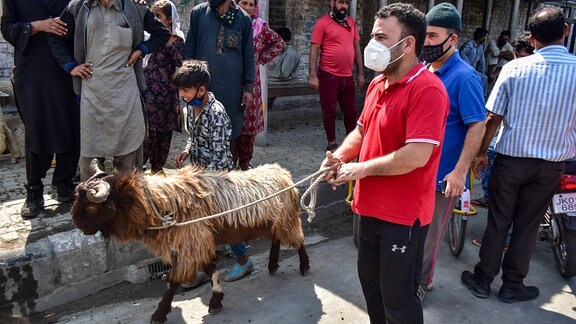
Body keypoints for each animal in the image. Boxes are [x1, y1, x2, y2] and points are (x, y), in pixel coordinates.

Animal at [72, 163, 310, 322]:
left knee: (298, 240)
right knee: (277, 240)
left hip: (287, 218)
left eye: (91, 206)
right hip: (274, 222)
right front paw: (216, 300)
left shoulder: (192, 242)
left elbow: (173, 280)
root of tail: (283, 173)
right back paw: (272, 265)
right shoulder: (199, 242)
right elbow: (210, 269)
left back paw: (304, 266)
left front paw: (159, 314)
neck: (158, 202)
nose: (77, 224)